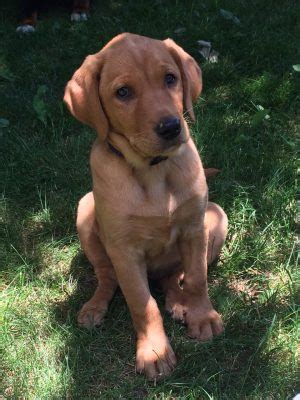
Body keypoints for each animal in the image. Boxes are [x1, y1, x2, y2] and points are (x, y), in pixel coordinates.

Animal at [63, 32, 227, 380]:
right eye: (123, 92)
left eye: (170, 79)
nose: (171, 127)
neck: (153, 172)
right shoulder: (125, 251)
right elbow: (142, 302)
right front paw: (154, 352)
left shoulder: (194, 229)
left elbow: (197, 279)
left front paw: (203, 318)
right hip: (85, 212)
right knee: (107, 277)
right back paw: (94, 307)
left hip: (217, 218)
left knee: (174, 276)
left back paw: (180, 303)